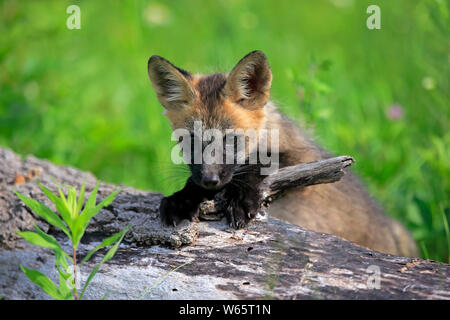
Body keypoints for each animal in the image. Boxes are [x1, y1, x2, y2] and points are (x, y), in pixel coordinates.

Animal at [147, 50, 418, 258]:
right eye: (190, 140)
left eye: (232, 140)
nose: (210, 181)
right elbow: (192, 183)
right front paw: (182, 199)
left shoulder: (306, 163)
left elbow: (263, 162)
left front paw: (240, 199)